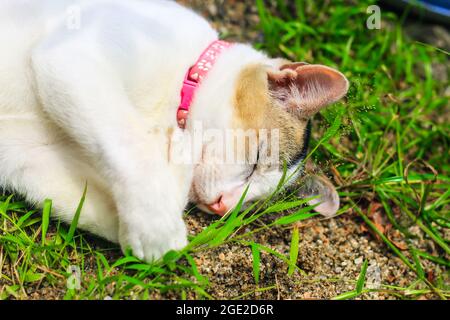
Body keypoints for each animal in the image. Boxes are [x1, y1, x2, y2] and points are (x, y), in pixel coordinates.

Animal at [0, 0, 348, 262]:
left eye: (252, 205)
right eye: (257, 159)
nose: (222, 206)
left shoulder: (31, 158)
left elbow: (102, 210)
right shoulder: (72, 56)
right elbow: (132, 145)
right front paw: (157, 225)